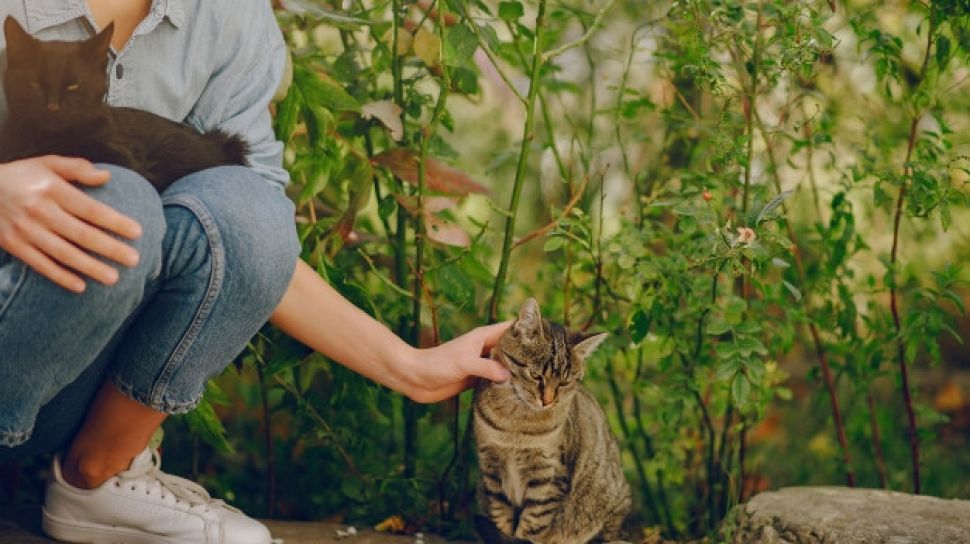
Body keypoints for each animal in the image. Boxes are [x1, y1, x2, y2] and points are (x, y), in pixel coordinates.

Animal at [474, 298, 628, 544]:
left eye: (564, 383)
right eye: (535, 375)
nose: (548, 401)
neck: (516, 424)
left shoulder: (548, 476)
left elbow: (531, 526)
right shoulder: (491, 469)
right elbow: (500, 517)